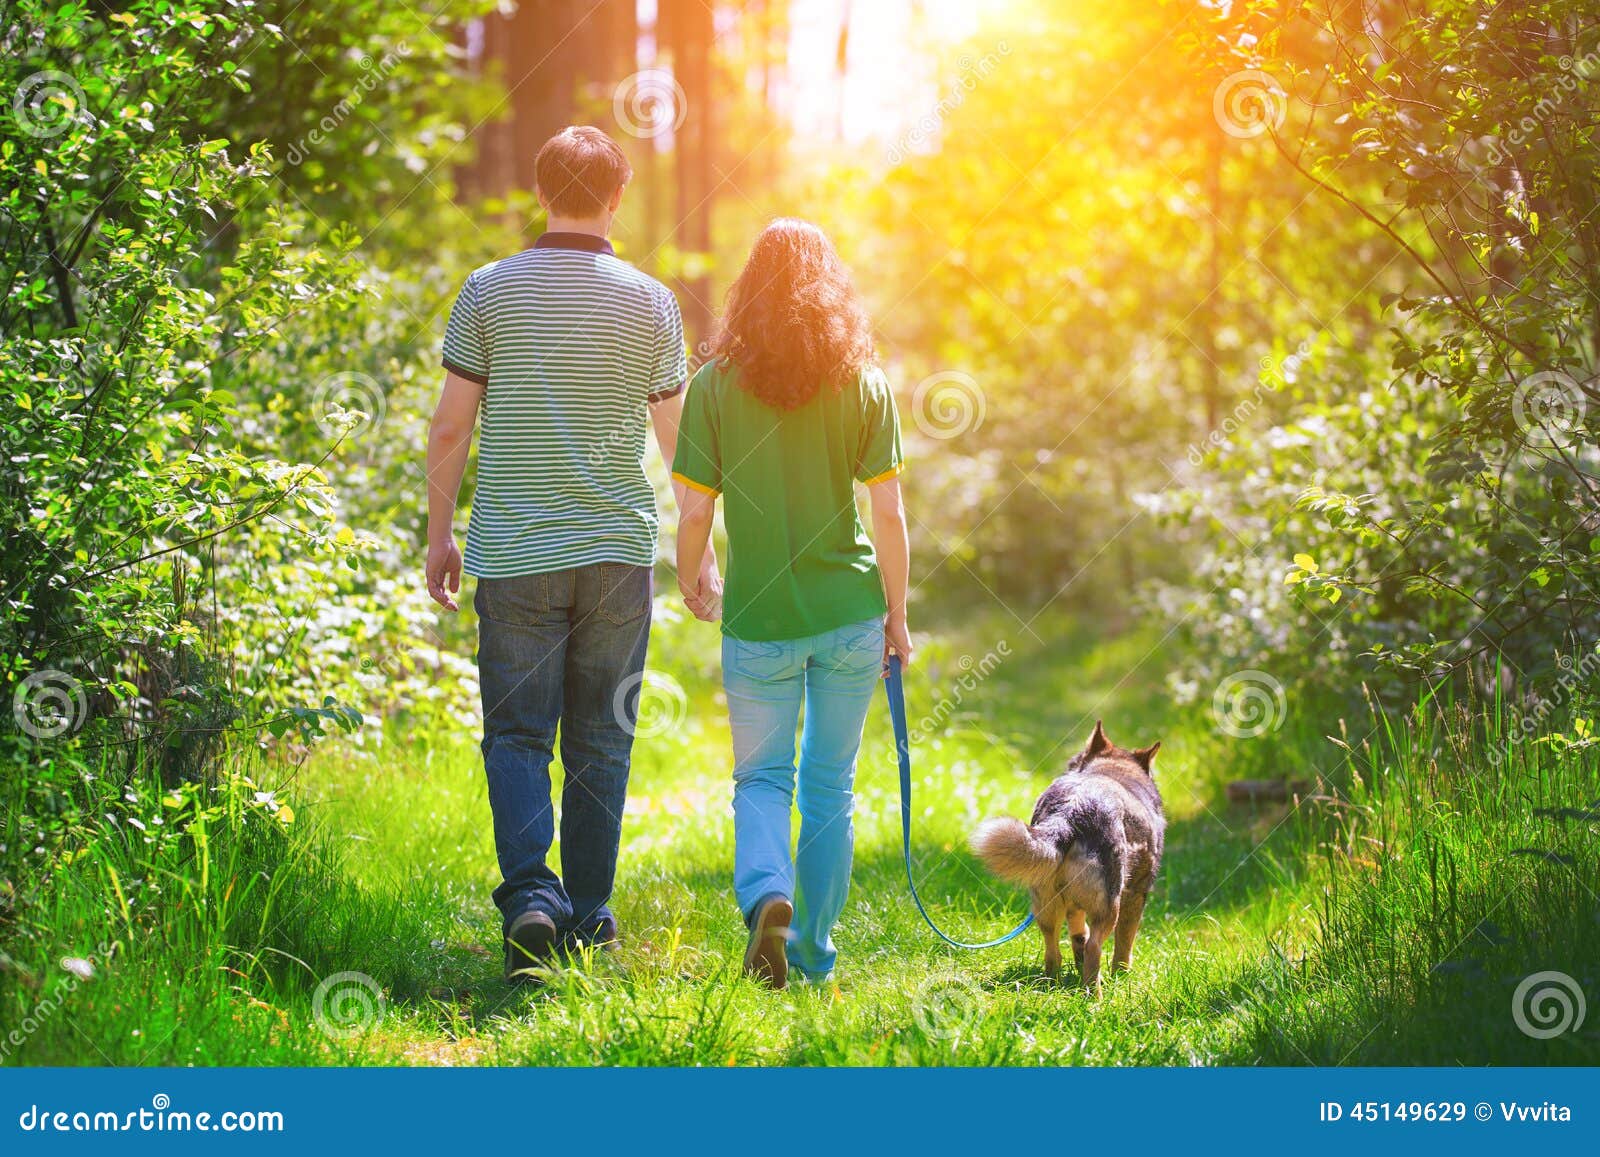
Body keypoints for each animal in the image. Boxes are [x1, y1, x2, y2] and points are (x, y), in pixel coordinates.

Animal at [966, 723, 1171, 985]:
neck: (1112, 769)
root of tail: (1071, 810)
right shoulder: (1136, 896)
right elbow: (1124, 946)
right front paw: (1122, 977)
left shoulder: (1074, 907)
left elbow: (1078, 935)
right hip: (1109, 908)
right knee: (1095, 947)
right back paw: (1093, 991)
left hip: (1046, 908)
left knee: (1053, 951)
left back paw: (1052, 984)